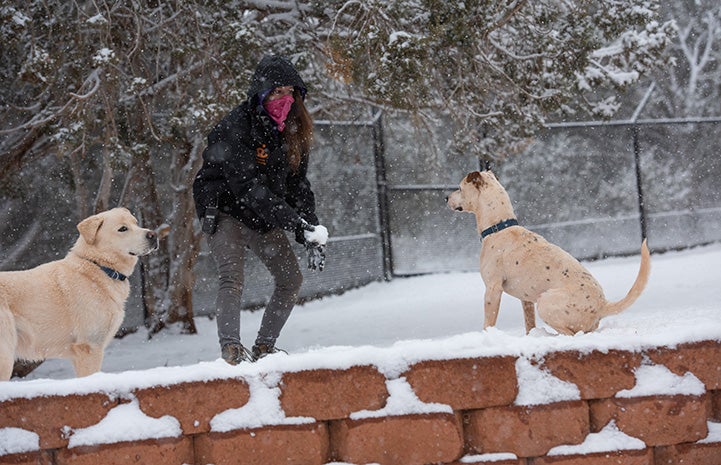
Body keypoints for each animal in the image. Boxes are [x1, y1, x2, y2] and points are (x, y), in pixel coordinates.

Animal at [0, 208, 158, 378]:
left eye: (136, 223)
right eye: (123, 229)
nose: (153, 235)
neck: (99, 266)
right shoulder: (89, 347)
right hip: (6, 357)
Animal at [448, 170, 648, 334]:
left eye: (459, 188)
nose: (446, 198)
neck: (499, 227)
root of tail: (602, 306)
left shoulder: (492, 289)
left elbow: (488, 323)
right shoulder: (526, 301)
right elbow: (529, 325)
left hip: (545, 302)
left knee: (570, 333)